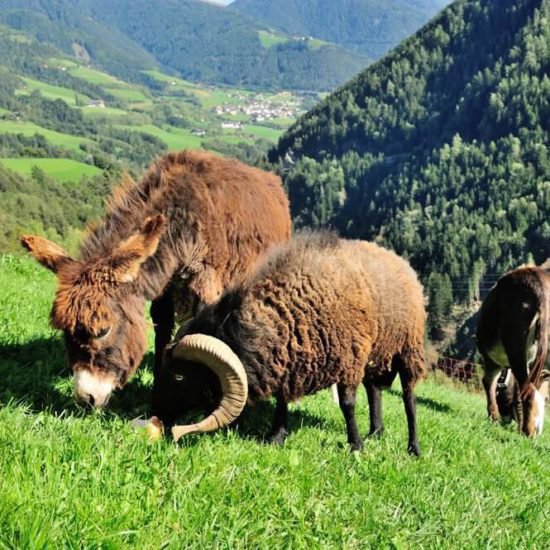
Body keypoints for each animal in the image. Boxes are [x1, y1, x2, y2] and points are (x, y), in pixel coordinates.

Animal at [153, 233, 430, 458]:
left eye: (179, 376)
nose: (155, 410)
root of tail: (398, 260)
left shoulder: (350, 359)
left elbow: (348, 404)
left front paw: (355, 446)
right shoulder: (288, 360)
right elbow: (282, 399)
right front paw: (276, 436)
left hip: (408, 350)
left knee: (409, 399)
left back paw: (413, 447)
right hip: (375, 354)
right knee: (374, 390)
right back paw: (376, 431)